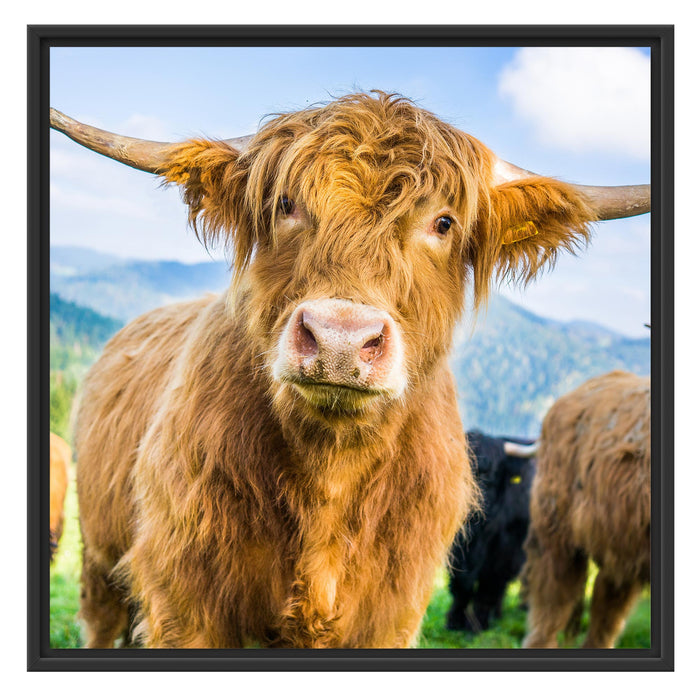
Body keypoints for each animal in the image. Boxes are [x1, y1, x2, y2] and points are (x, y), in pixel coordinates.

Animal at [446, 430, 536, 633]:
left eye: (492, 475)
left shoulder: (504, 551)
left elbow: (488, 588)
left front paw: (477, 626)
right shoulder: (458, 550)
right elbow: (461, 585)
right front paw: (454, 622)